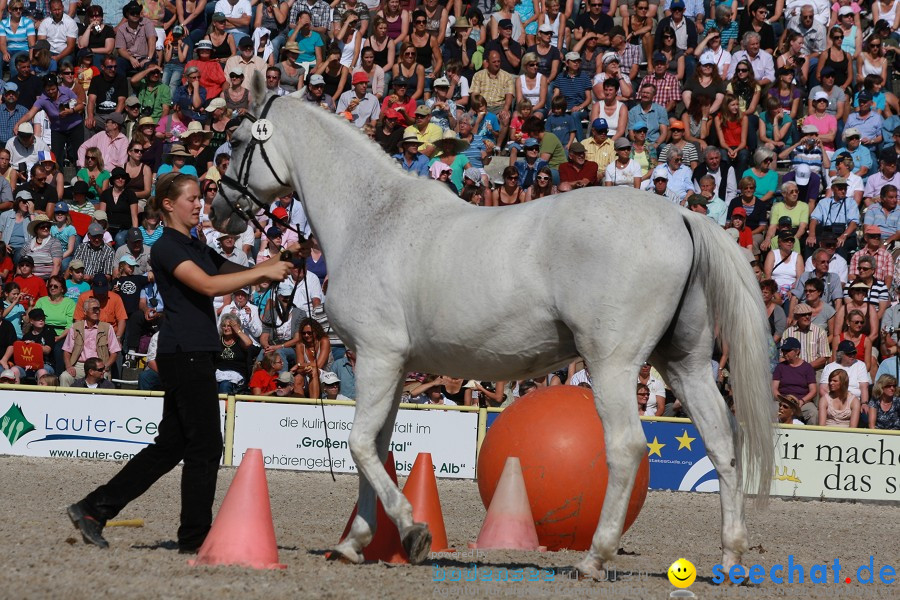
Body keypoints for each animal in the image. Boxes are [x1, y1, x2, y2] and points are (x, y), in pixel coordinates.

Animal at [211, 76, 772, 576]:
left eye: (236, 142)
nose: (219, 212)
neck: (372, 217)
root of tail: (681, 218)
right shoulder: (395, 366)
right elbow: (377, 446)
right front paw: (356, 544)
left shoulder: (375, 357)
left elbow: (359, 444)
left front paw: (412, 532)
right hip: (685, 362)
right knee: (722, 443)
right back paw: (730, 557)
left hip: (612, 365)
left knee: (627, 447)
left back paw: (594, 558)